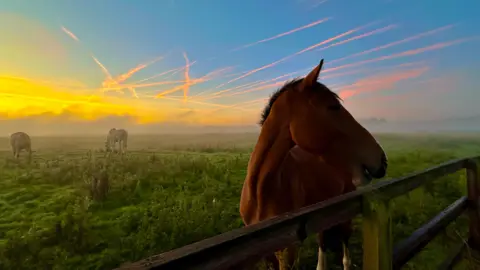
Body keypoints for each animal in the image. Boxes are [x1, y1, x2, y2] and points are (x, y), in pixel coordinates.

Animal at [238, 59, 388, 270]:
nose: (382, 159)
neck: (261, 192)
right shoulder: (266, 254)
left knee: (342, 244)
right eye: (333, 106)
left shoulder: (289, 250)